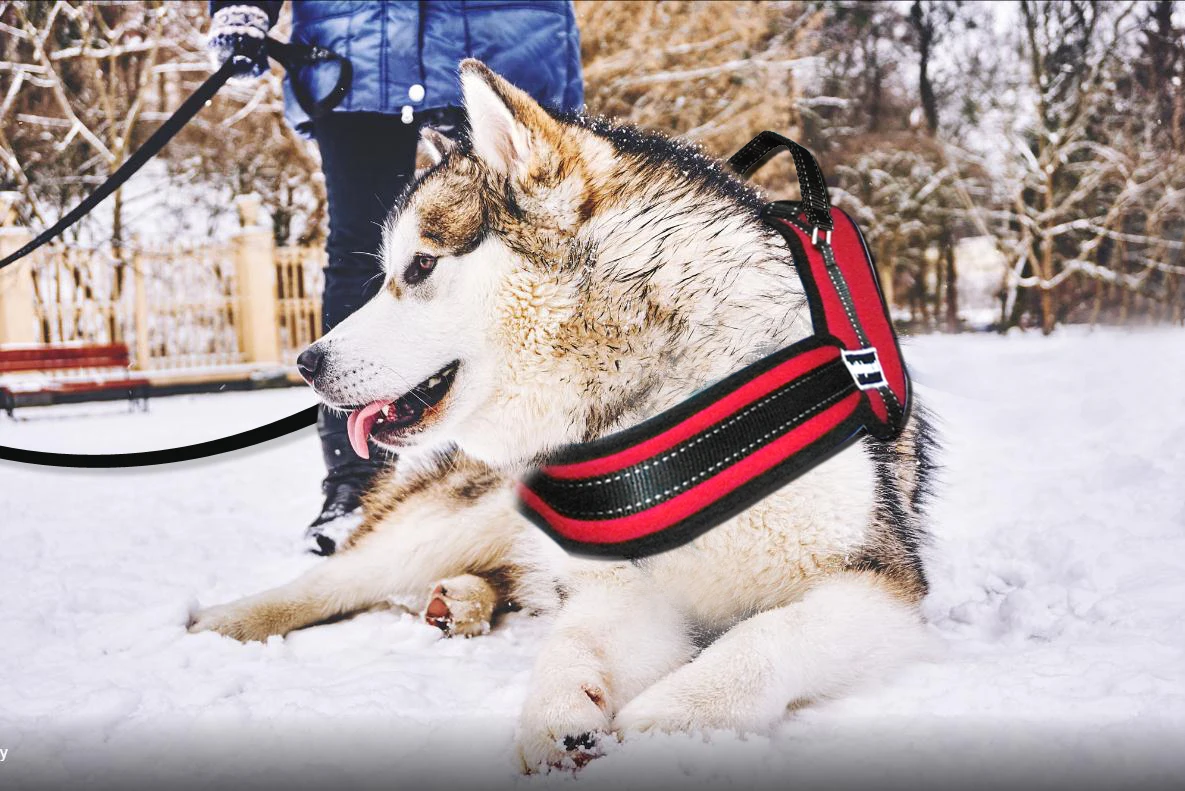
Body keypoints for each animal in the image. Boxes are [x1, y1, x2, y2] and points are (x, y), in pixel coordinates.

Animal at [189, 61, 938, 772]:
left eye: (421, 265)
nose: (306, 362)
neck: (652, 404)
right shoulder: (627, 587)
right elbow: (577, 636)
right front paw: (555, 708)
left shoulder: (878, 581)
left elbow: (767, 634)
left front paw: (675, 714)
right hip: (466, 514)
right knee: (338, 579)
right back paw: (230, 618)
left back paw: (462, 599)